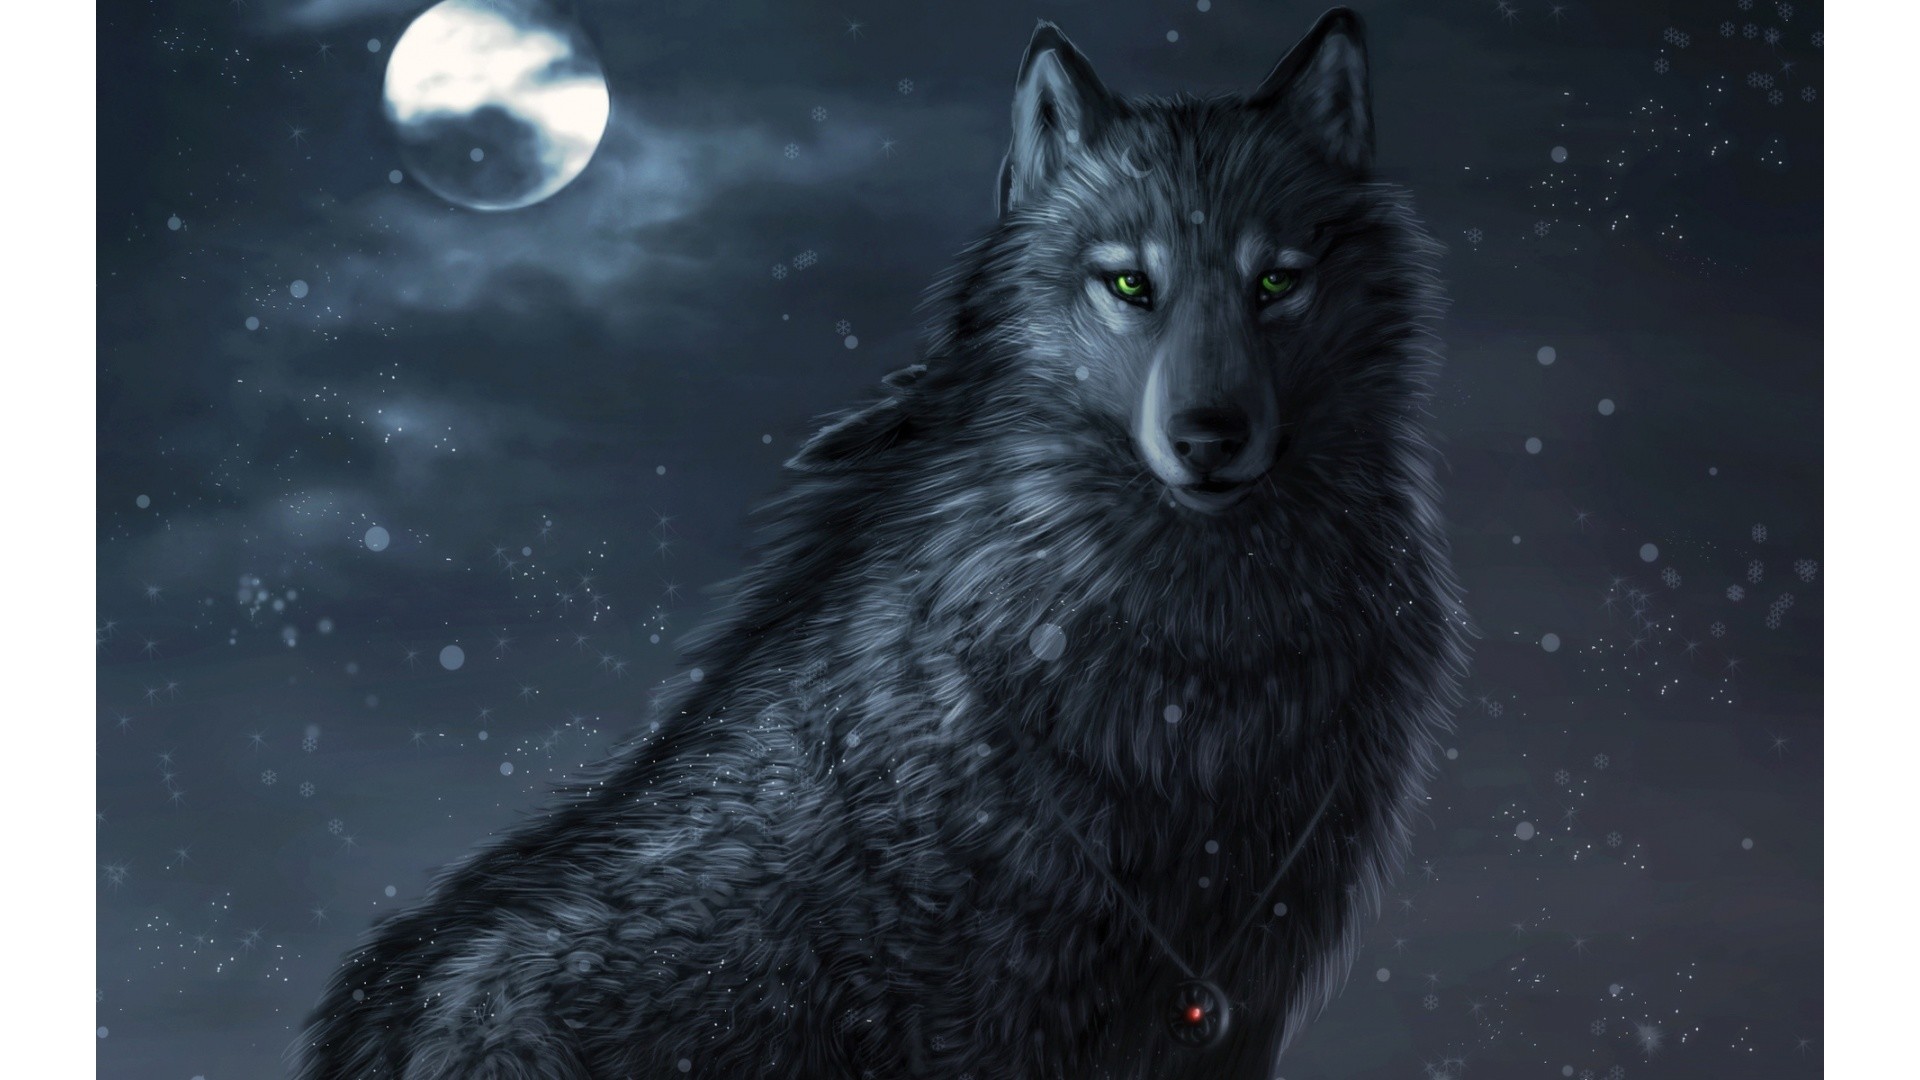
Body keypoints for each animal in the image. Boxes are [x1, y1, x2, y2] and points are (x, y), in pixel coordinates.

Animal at [293, 8, 1469, 1078]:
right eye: (1132, 283)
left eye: (1277, 280)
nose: (1210, 438)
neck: (1197, 667)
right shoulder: (987, 1014)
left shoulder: (1236, 999)